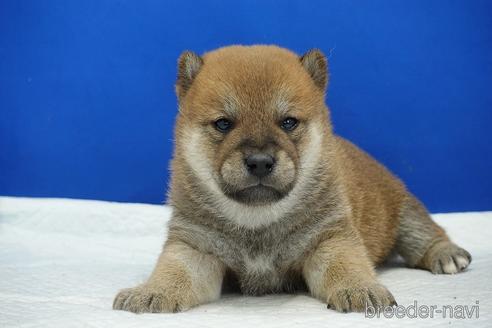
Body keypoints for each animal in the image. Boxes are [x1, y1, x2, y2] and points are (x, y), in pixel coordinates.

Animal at [113, 44, 470, 312]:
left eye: (288, 122)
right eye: (223, 124)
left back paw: (446, 254)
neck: (256, 222)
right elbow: (174, 272)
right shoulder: (195, 247)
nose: (259, 162)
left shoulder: (331, 239)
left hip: (403, 210)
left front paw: (362, 288)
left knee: (424, 233)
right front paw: (152, 291)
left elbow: (347, 266)